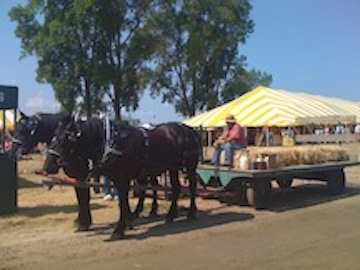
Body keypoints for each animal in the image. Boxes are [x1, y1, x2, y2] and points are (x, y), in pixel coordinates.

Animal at [43, 118, 201, 240]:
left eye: (64, 140)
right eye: (53, 137)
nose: (47, 167)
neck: (113, 144)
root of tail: (190, 130)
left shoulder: (122, 179)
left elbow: (121, 203)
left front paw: (119, 229)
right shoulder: (109, 179)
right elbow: (115, 201)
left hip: (189, 165)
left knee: (192, 185)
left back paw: (191, 213)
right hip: (172, 168)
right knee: (175, 188)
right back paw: (170, 215)